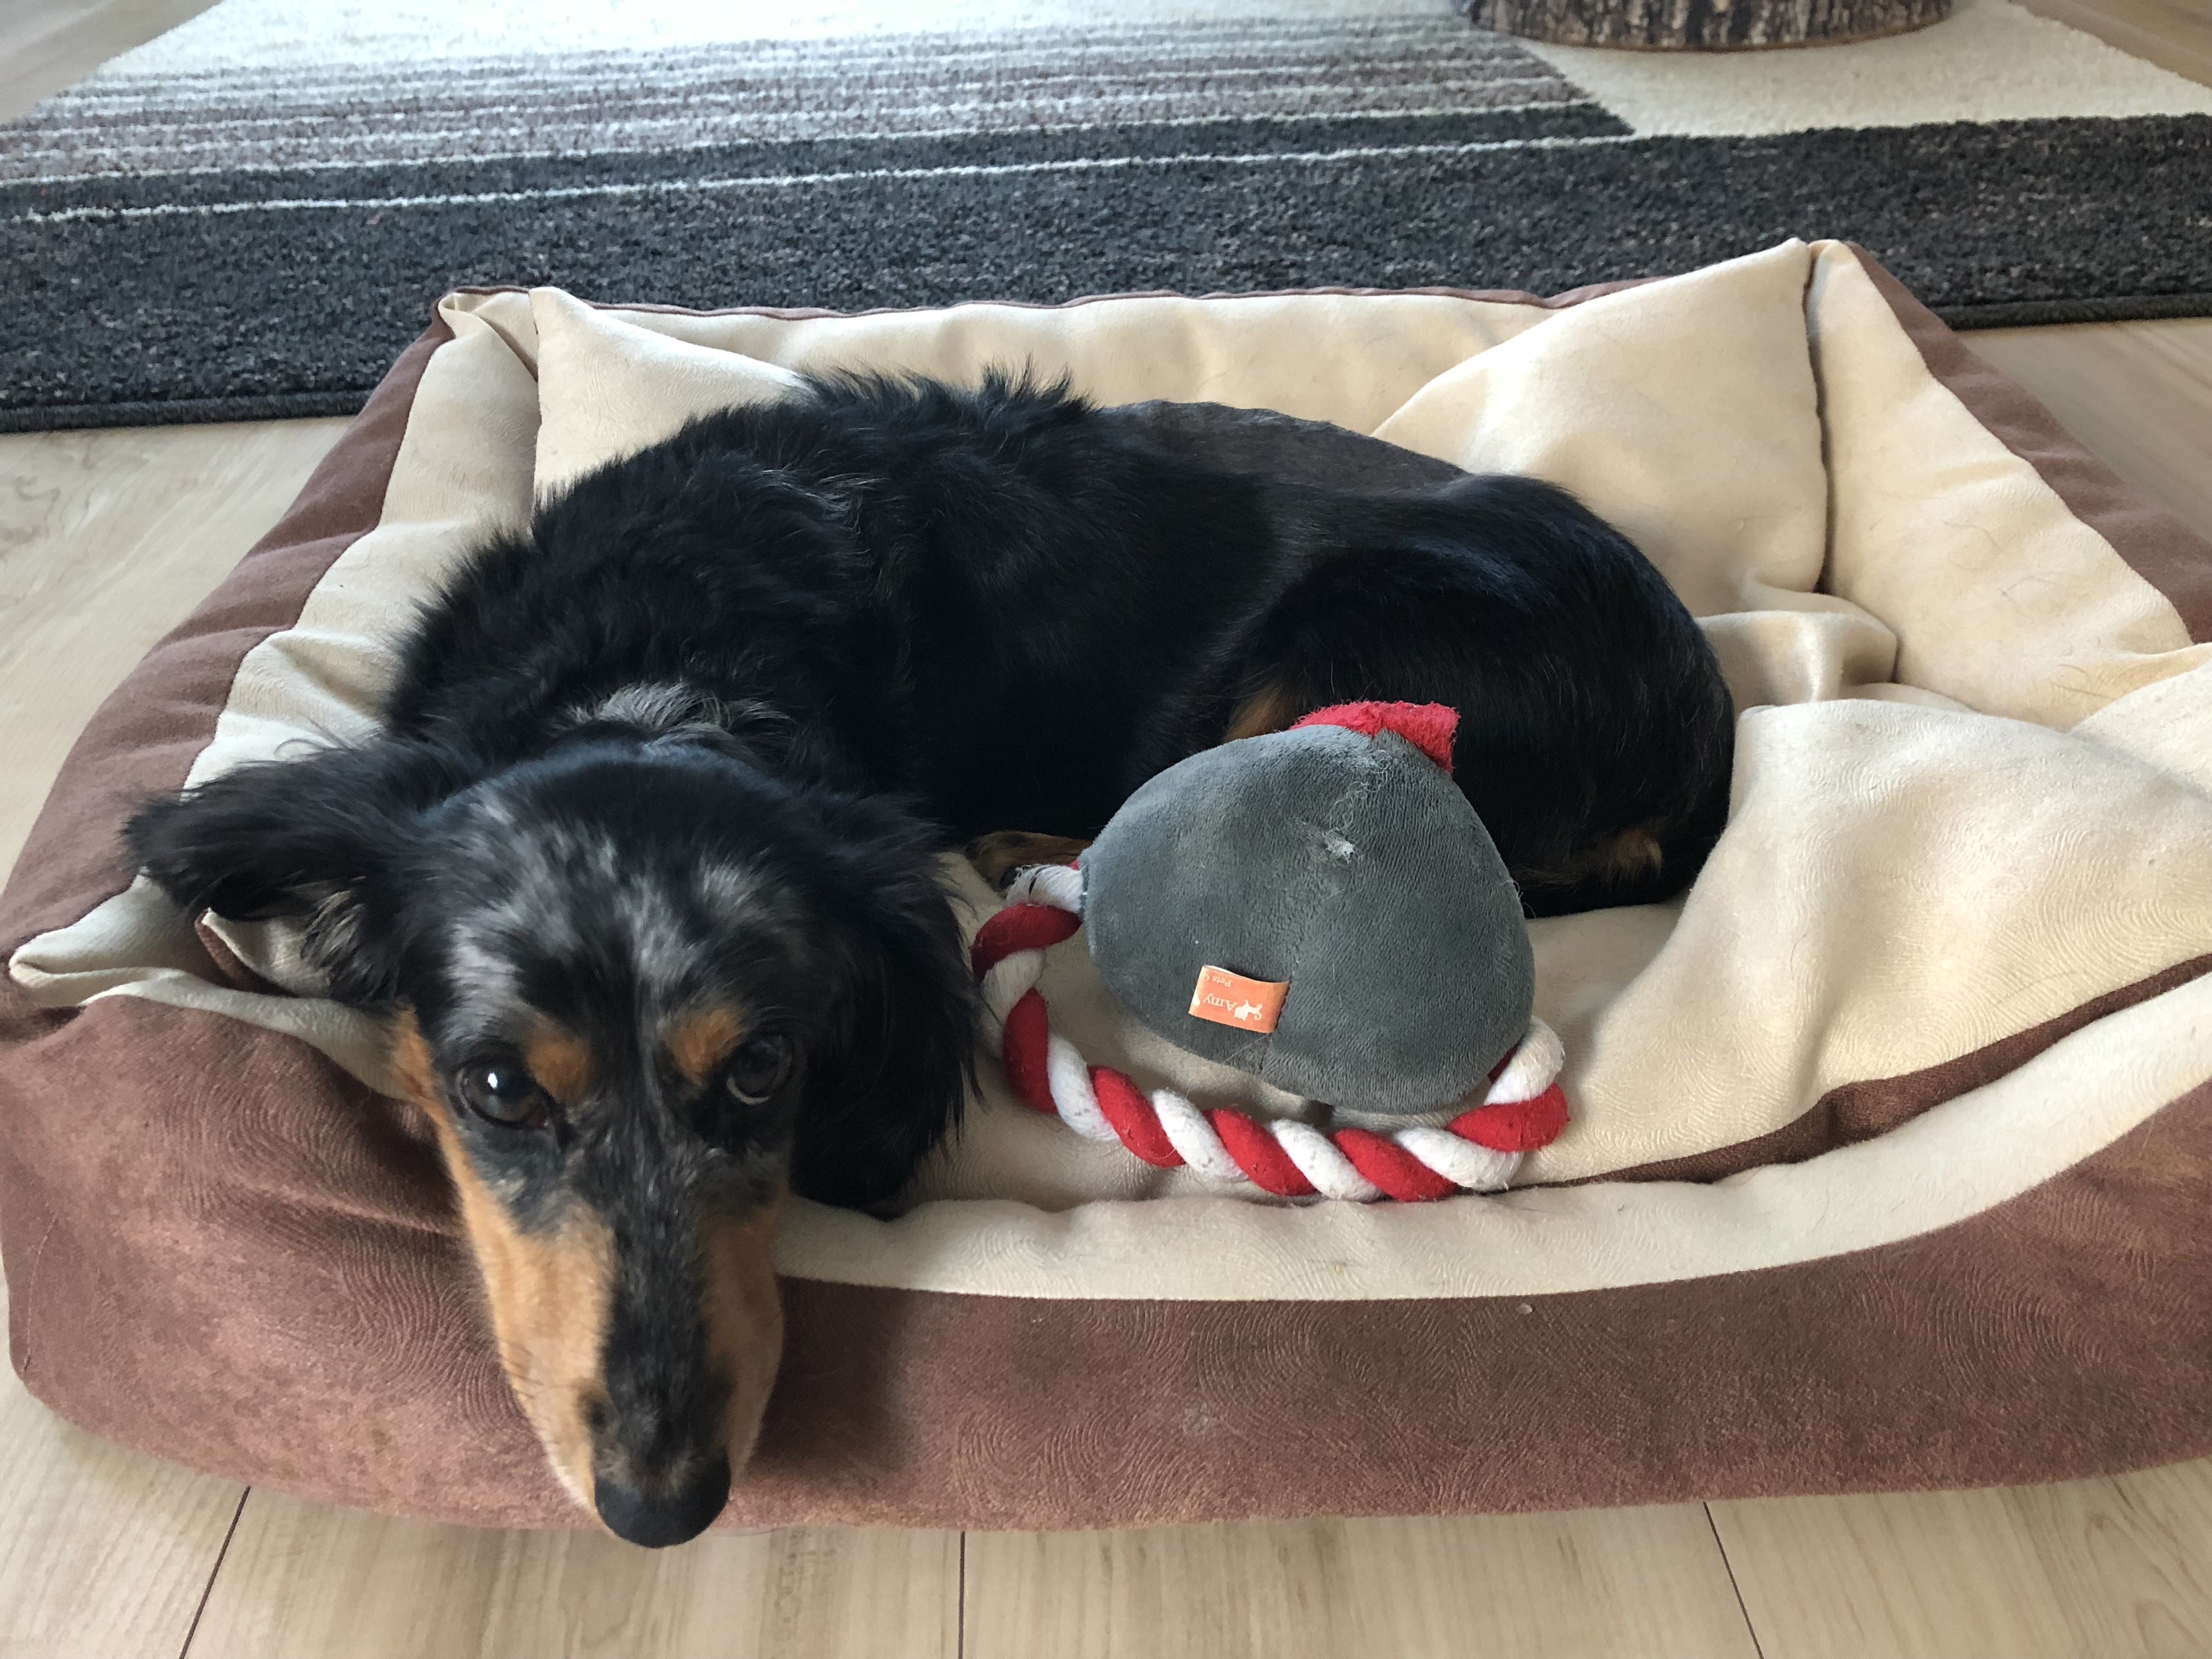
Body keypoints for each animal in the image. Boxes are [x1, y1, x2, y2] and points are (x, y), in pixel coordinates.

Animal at [127, 373, 1735, 1547]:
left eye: (764, 1070)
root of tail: (1703, 707)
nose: (663, 1506)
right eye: (498, 1090)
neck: (663, 667)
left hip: (1337, 651)